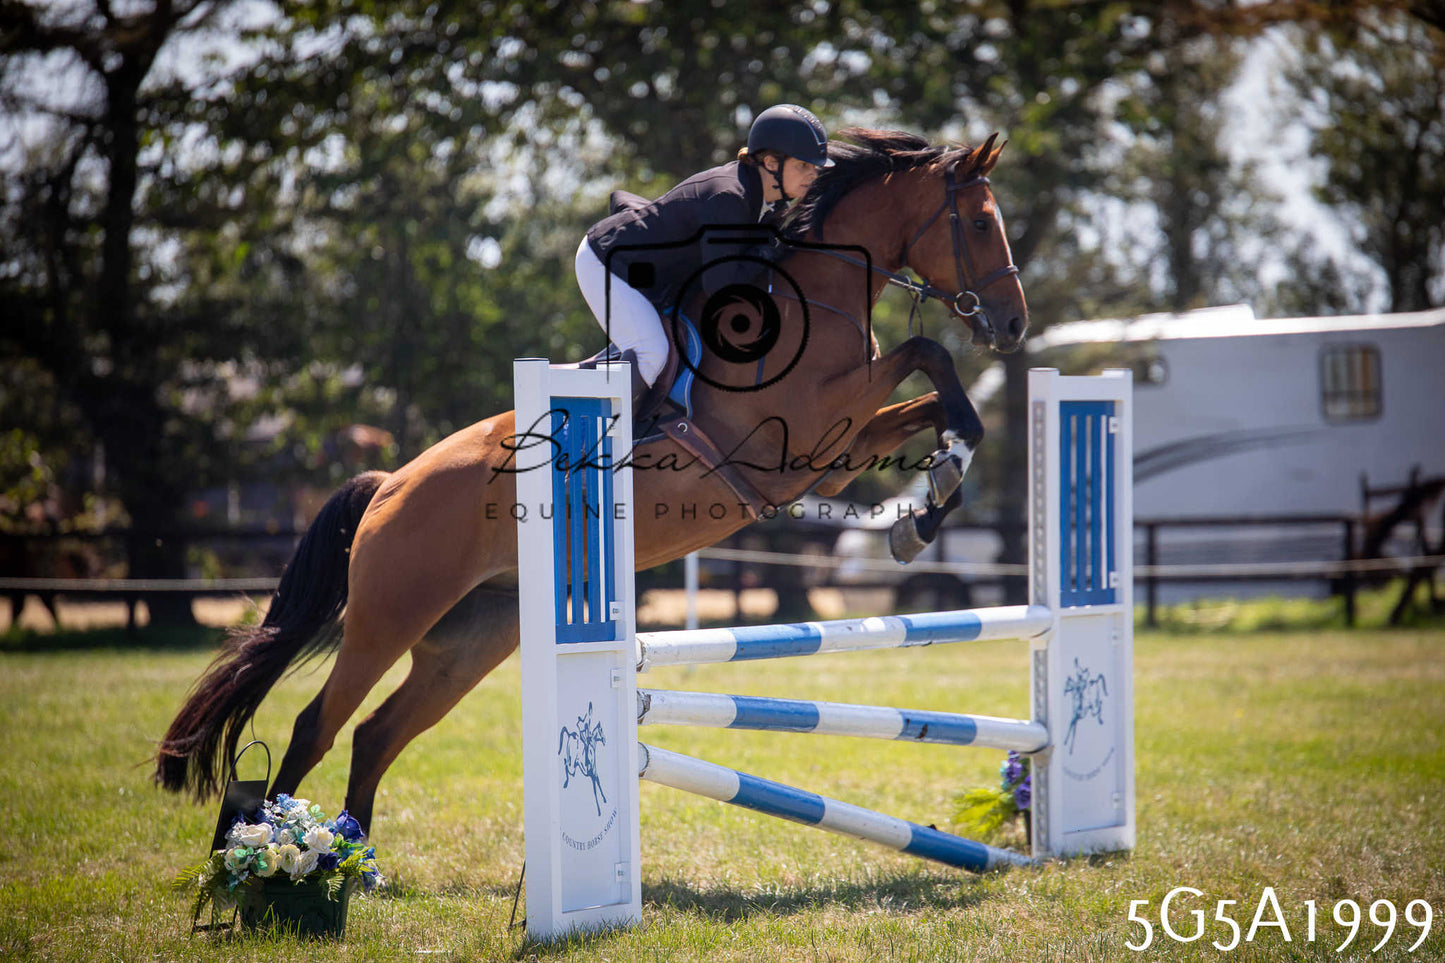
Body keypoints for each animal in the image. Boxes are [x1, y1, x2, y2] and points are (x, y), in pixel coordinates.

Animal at [154, 128, 1029, 833]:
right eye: (979, 222)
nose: (1015, 325)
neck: (814, 297)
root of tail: (390, 483)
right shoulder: (809, 432)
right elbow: (928, 355)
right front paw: (932, 494)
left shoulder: (837, 440)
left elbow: (932, 393)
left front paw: (930, 501)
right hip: (387, 616)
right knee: (317, 726)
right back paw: (259, 858)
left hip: (470, 639)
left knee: (378, 732)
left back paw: (349, 857)